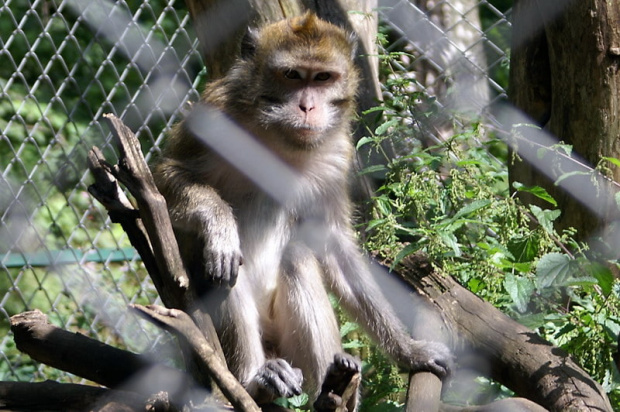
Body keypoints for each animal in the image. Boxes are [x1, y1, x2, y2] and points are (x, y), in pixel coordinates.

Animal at [154, 11, 450, 408]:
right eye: (292, 75)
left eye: (323, 77)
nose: (308, 107)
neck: (279, 138)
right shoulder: (216, 113)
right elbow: (167, 177)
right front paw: (219, 224)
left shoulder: (337, 154)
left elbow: (334, 244)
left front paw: (409, 351)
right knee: (223, 267)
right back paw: (255, 380)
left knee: (297, 258)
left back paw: (333, 392)